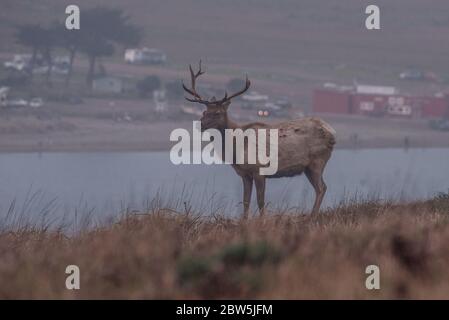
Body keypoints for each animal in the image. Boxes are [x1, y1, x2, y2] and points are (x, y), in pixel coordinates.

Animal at [183, 60, 336, 218]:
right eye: (204, 112)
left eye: (218, 113)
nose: (200, 124)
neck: (237, 147)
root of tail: (331, 132)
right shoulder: (244, 174)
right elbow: (245, 201)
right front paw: (244, 220)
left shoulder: (259, 170)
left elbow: (260, 200)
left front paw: (262, 220)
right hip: (308, 167)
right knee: (321, 187)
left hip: (317, 161)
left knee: (321, 188)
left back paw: (312, 216)